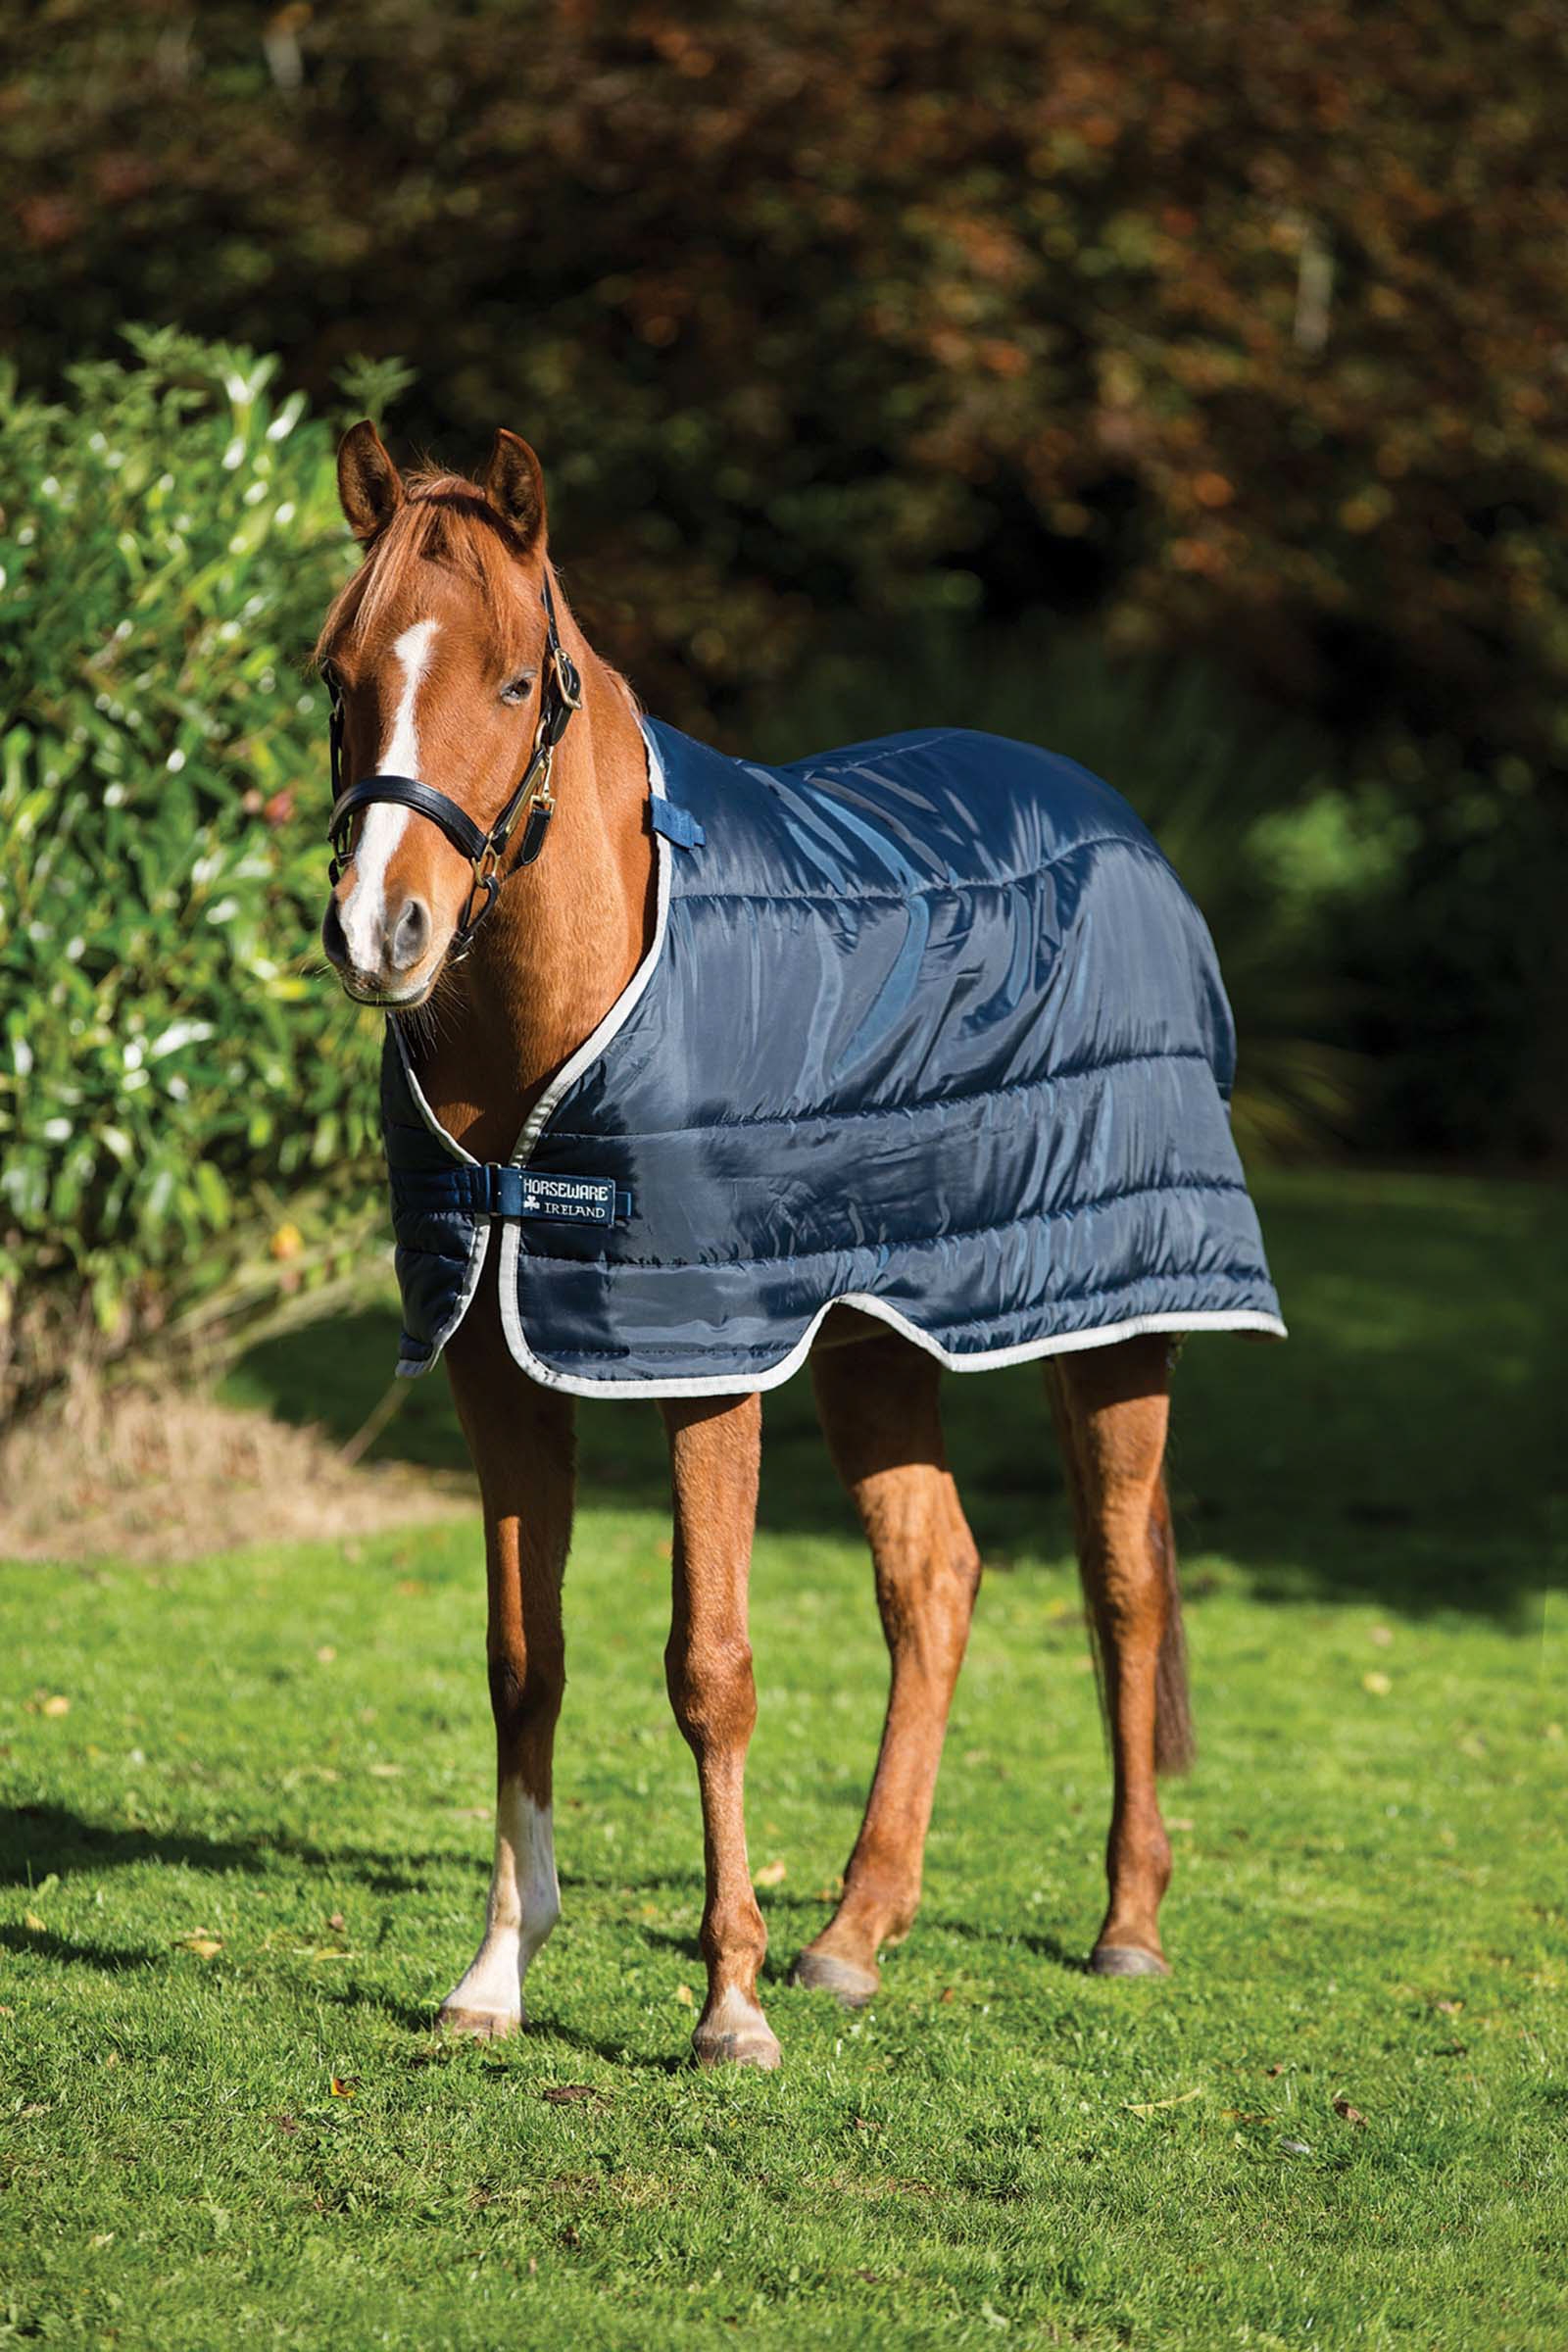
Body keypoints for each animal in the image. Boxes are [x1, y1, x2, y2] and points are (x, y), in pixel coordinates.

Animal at [314, 421, 1283, 2068]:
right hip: (876, 1340)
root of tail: (1117, 823)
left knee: (1122, 1589)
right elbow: (524, 1663)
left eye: (512, 683)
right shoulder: (498, 1367)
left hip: (1115, 1322)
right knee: (935, 1583)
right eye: (339, 677)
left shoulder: (706, 1367)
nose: (384, 932)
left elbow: (710, 1669)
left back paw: (1126, 1925)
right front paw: (495, 1980)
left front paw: (728, 2008)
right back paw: (855, 1934)